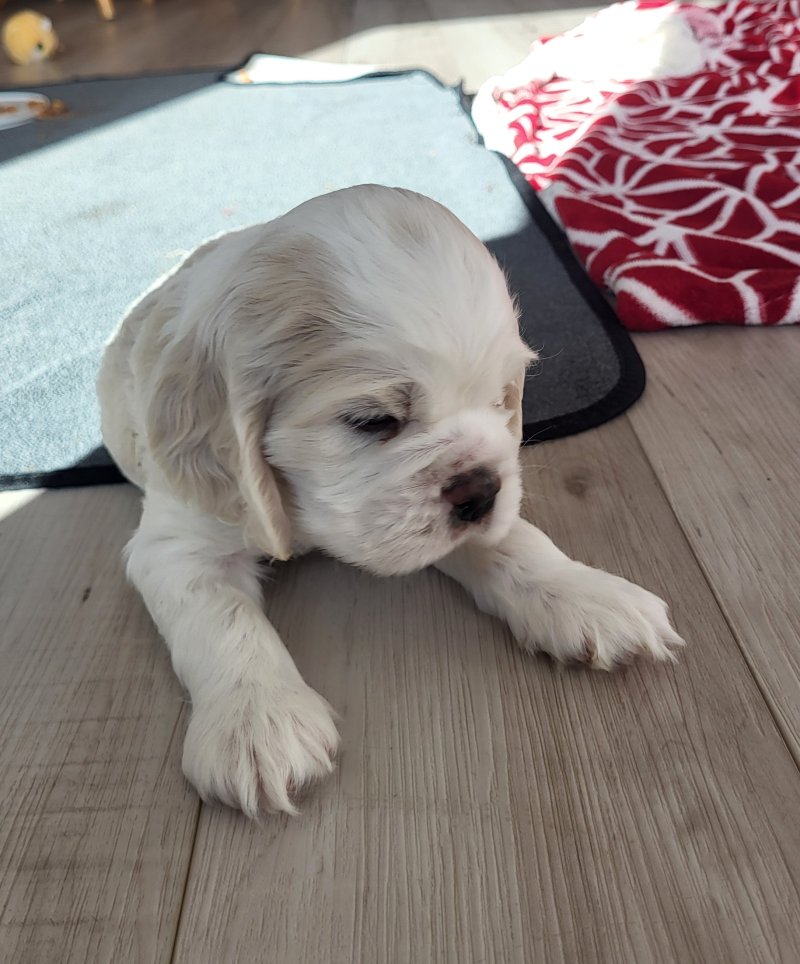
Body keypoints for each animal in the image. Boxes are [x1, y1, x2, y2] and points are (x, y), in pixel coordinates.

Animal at [97, 184, 684, 818]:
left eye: (499, 399)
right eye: (373, 420)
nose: (482, 491)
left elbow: (516, 542)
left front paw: (583, 592)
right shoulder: (182, 539)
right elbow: (224, 621)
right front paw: (258, 723)